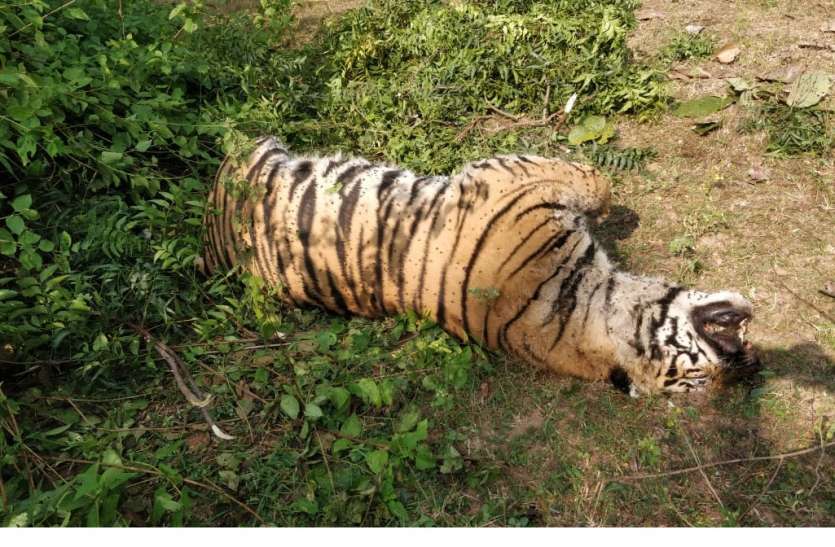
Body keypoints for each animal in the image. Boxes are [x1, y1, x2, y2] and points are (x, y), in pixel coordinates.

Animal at [202, 136, 759, 395]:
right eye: (701, 376)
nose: (748, 361)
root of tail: (211, 253)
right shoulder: (515, 175)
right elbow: (595, 181)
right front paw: (612, 205)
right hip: (253, 153)